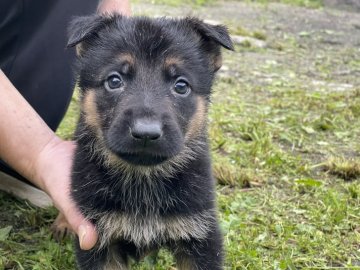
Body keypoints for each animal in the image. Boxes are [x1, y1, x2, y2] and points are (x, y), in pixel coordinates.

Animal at [66, 14, 232, 270]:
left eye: (181, 86)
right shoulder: (98, 238)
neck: (143, 179)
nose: (146, 133)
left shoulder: (200, 233)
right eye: (114, 81)